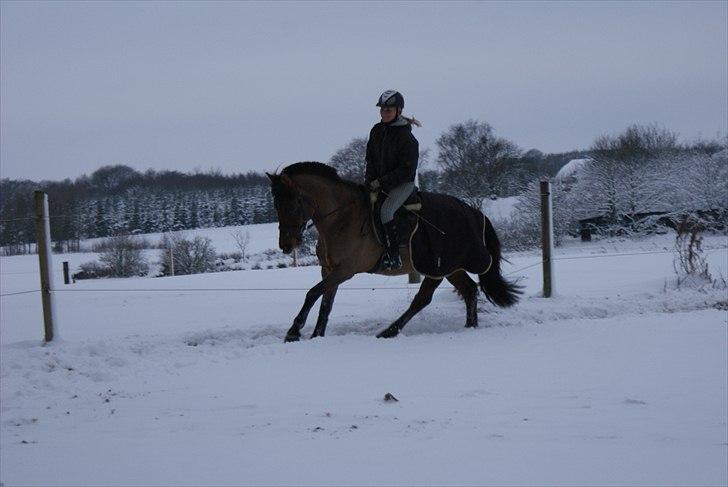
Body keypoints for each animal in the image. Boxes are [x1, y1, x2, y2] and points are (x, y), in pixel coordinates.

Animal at [264, 162, 520, 342]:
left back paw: (388, 332)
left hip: (436, 266)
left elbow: (312, 293)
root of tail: (474, 213)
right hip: (450, 267)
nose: (286, 245)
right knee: (469, 290)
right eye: (276, 205)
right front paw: (317, 335)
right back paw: (469, 326)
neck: (341, 218)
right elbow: (325, 301)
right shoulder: (329, 270)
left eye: (292, 204)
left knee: (422, 299)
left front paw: (293, 332)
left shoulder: (345, 270)